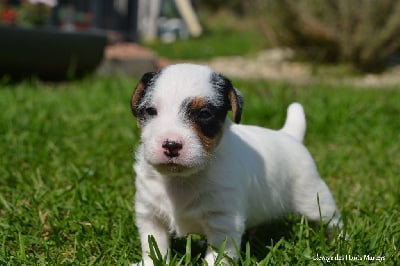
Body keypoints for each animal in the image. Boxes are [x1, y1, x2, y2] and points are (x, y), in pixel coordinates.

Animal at [130, 63, 340, 264]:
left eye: (204, 113)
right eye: (150, 111)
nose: (171, 145)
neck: (182, 180)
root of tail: (290, 135)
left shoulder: (224, 222)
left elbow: (218, 255)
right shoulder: (150, 216)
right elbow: (154, 247)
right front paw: (149, 263)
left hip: (313, 197)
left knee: (332, 219)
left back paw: (339, 241)